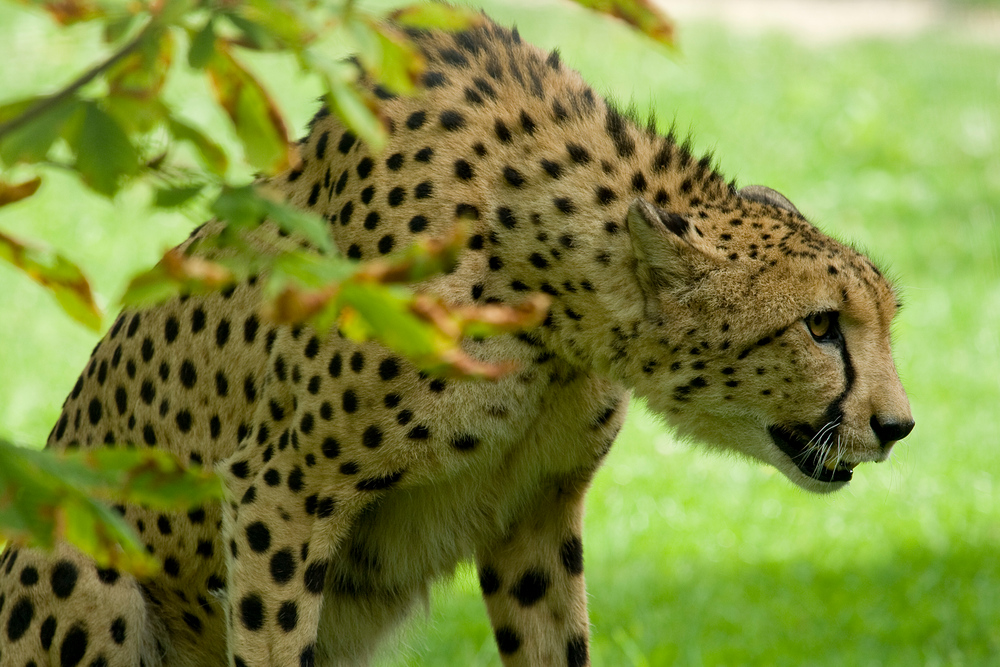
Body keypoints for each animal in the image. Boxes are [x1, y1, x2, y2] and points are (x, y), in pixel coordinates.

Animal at [0, 15, 916, 667]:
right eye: (821, 326)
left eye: (884, 318)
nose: (899, 426)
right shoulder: (275, 491)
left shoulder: (535, 511)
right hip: (81, 555)